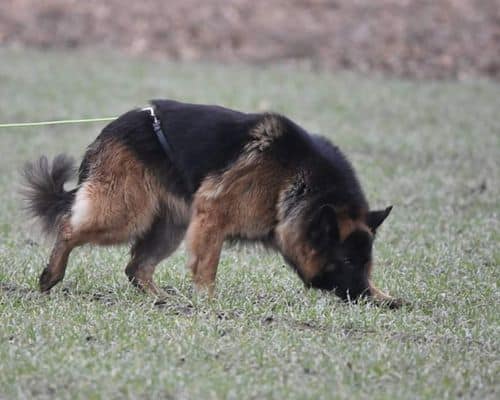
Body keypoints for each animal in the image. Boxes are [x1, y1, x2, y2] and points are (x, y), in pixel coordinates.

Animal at [21, 99, 402, 308]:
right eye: (346, 261)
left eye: (367, 263)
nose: (364, 295)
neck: (301, 180)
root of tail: (111, 128)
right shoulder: (212, 216)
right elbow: (207, 268)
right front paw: (208, 304)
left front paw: (385, 296)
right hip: (125, 213)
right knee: (69, 228)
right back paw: (51, 275)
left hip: (169, 227)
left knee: (136, 268)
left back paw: (164, 300)